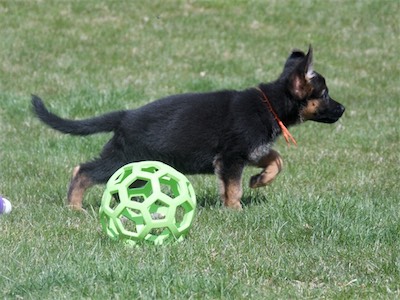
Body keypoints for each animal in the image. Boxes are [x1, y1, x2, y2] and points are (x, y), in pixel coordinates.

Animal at [32, 47, 344, 211]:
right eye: (325, 94)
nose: (343, 110)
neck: (271, 104)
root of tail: (125, 116)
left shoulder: (249, 151)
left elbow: (276, 160)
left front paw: (259, 180)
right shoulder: (231, 158)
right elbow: (234, 188)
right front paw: (236, 210)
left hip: (135, 166)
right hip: (122, 159)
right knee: (83, 170)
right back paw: (74, 206)